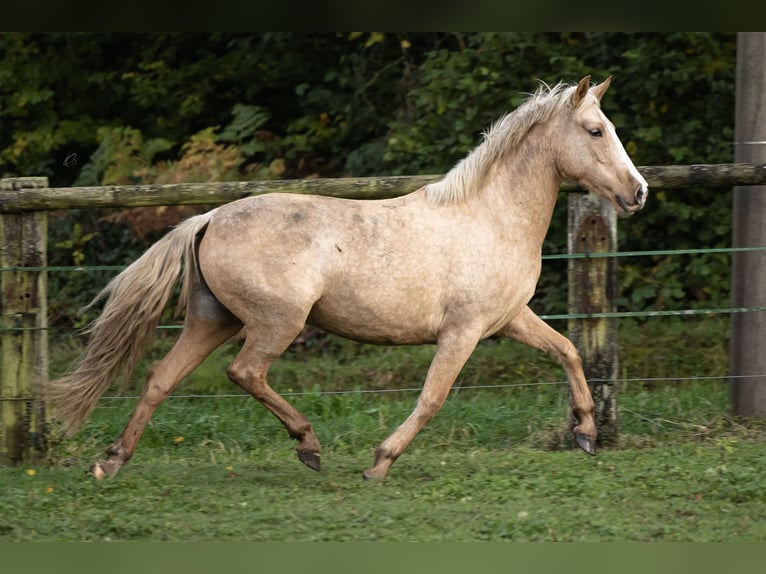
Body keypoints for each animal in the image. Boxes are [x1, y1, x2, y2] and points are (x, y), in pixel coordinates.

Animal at [46, 76, 648, 482]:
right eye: (596, 130)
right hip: (276, 323)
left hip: (211, 320)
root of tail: (209, 218)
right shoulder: (464, 332)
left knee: (159, 379)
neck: (490, 216)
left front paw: (587, 434)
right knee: (244, 372)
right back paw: (309, 446)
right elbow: (432, 398)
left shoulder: (509, 320)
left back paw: (111, 462)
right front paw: (379, 463)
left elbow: (568, 350)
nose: (638, 192)